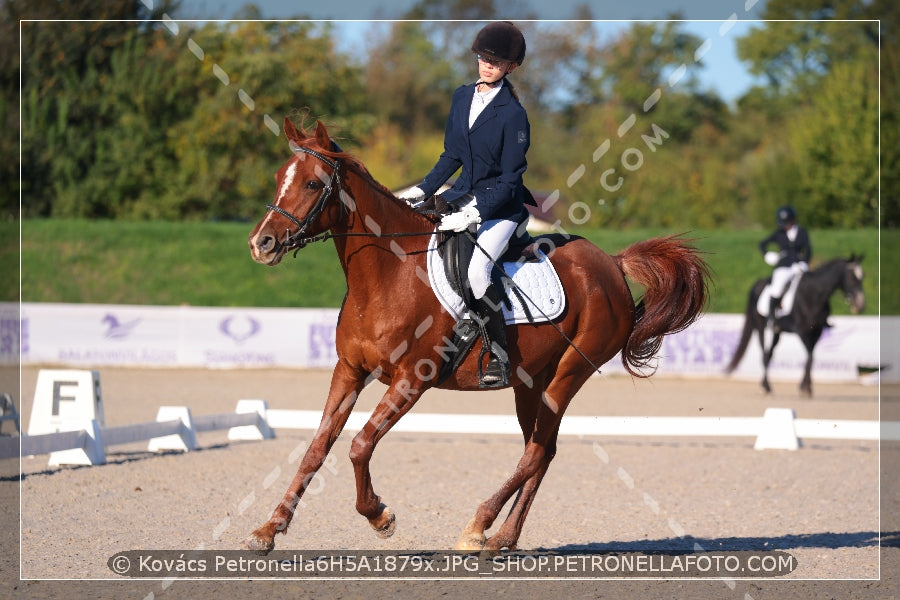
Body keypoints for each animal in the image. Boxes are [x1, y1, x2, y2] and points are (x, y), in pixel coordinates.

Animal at [244, 117, 712, 552]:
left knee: (536, 452)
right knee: (541, 451)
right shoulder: (349, 371)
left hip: (568, 375)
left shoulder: (412, 379)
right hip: (530, 383)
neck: (386, 276)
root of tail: (612, 264)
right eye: (279, 177)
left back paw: (477, 527)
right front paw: (268, 530)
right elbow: (316, 448)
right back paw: (502, 537)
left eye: (311, 183)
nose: (261, 244)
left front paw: (379, 516)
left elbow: (360, 445)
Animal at [724, 254, 864, 398]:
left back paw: (766, 385)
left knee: (769, 355)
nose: (860, 305)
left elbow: (810, 356)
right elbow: (810, 356)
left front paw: (805, 387)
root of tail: (759, 282)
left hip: (777, 332)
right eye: (852, 277)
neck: (813, 295)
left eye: (862, 277)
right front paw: (806, 388)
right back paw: (766, 387)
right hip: (760, 326)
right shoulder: (802, 332)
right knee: (764, 354)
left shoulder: (817, 331)